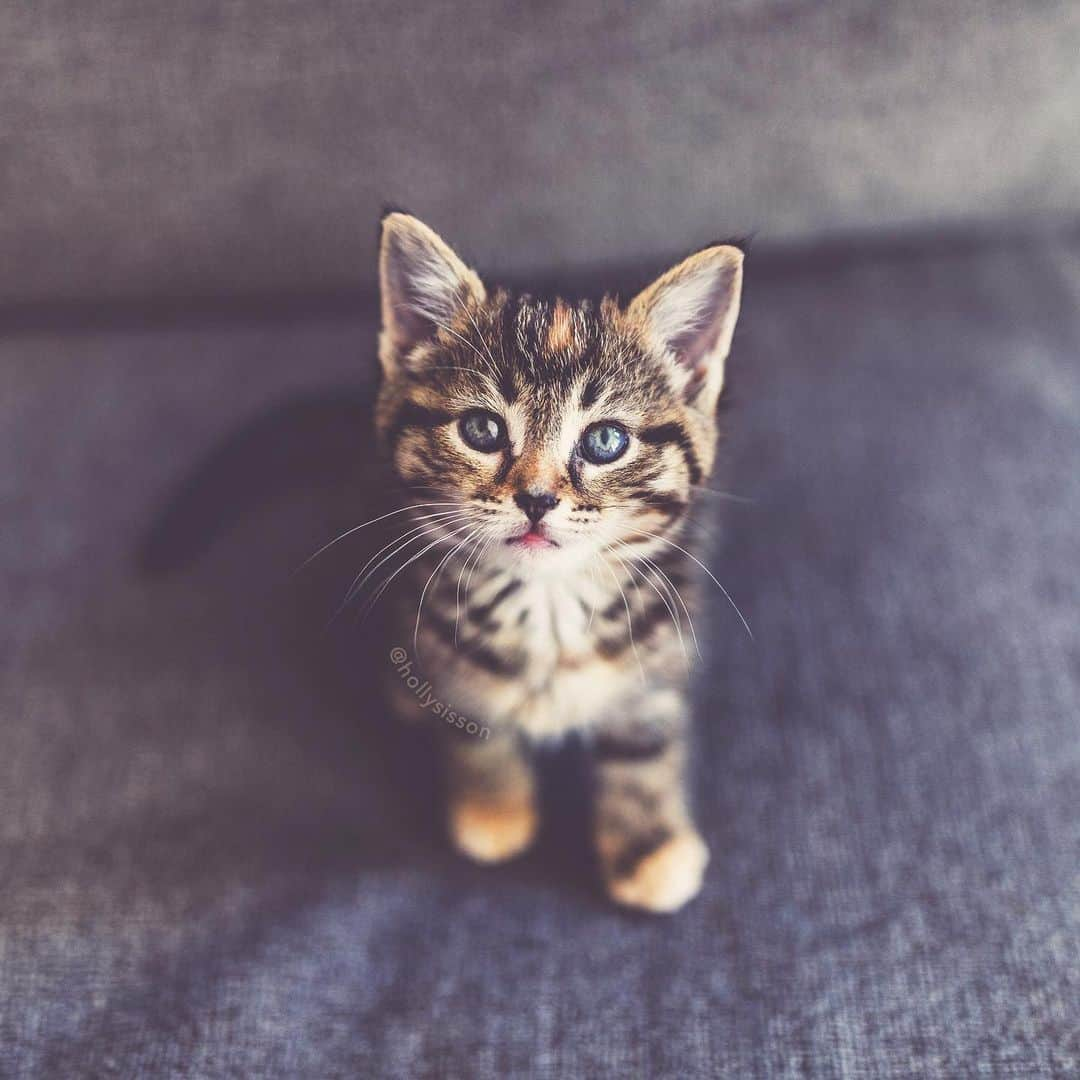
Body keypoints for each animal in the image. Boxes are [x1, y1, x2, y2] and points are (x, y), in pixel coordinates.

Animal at [373, 210, 743, 911]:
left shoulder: (661, 644)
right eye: (482, 430)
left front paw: (647, 848)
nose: (538, 498)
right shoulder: (444, 635)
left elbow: (645, 745)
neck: (546, 601)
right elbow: (472, 717)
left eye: (605, 440)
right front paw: (493, 809)